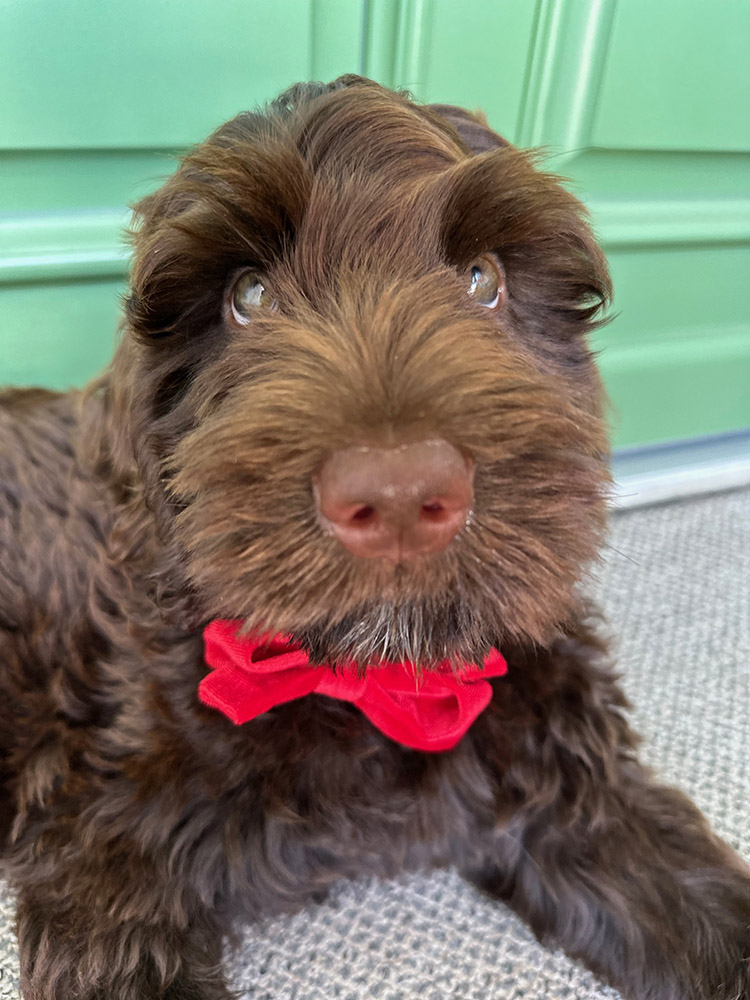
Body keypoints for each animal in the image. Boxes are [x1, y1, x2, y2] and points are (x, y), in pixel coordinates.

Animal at [1, 78, 750, 1000]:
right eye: (249, 295)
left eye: (482, 279)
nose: (398, 496)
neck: (376, 681)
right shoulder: (110, 861)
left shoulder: (591, 795)